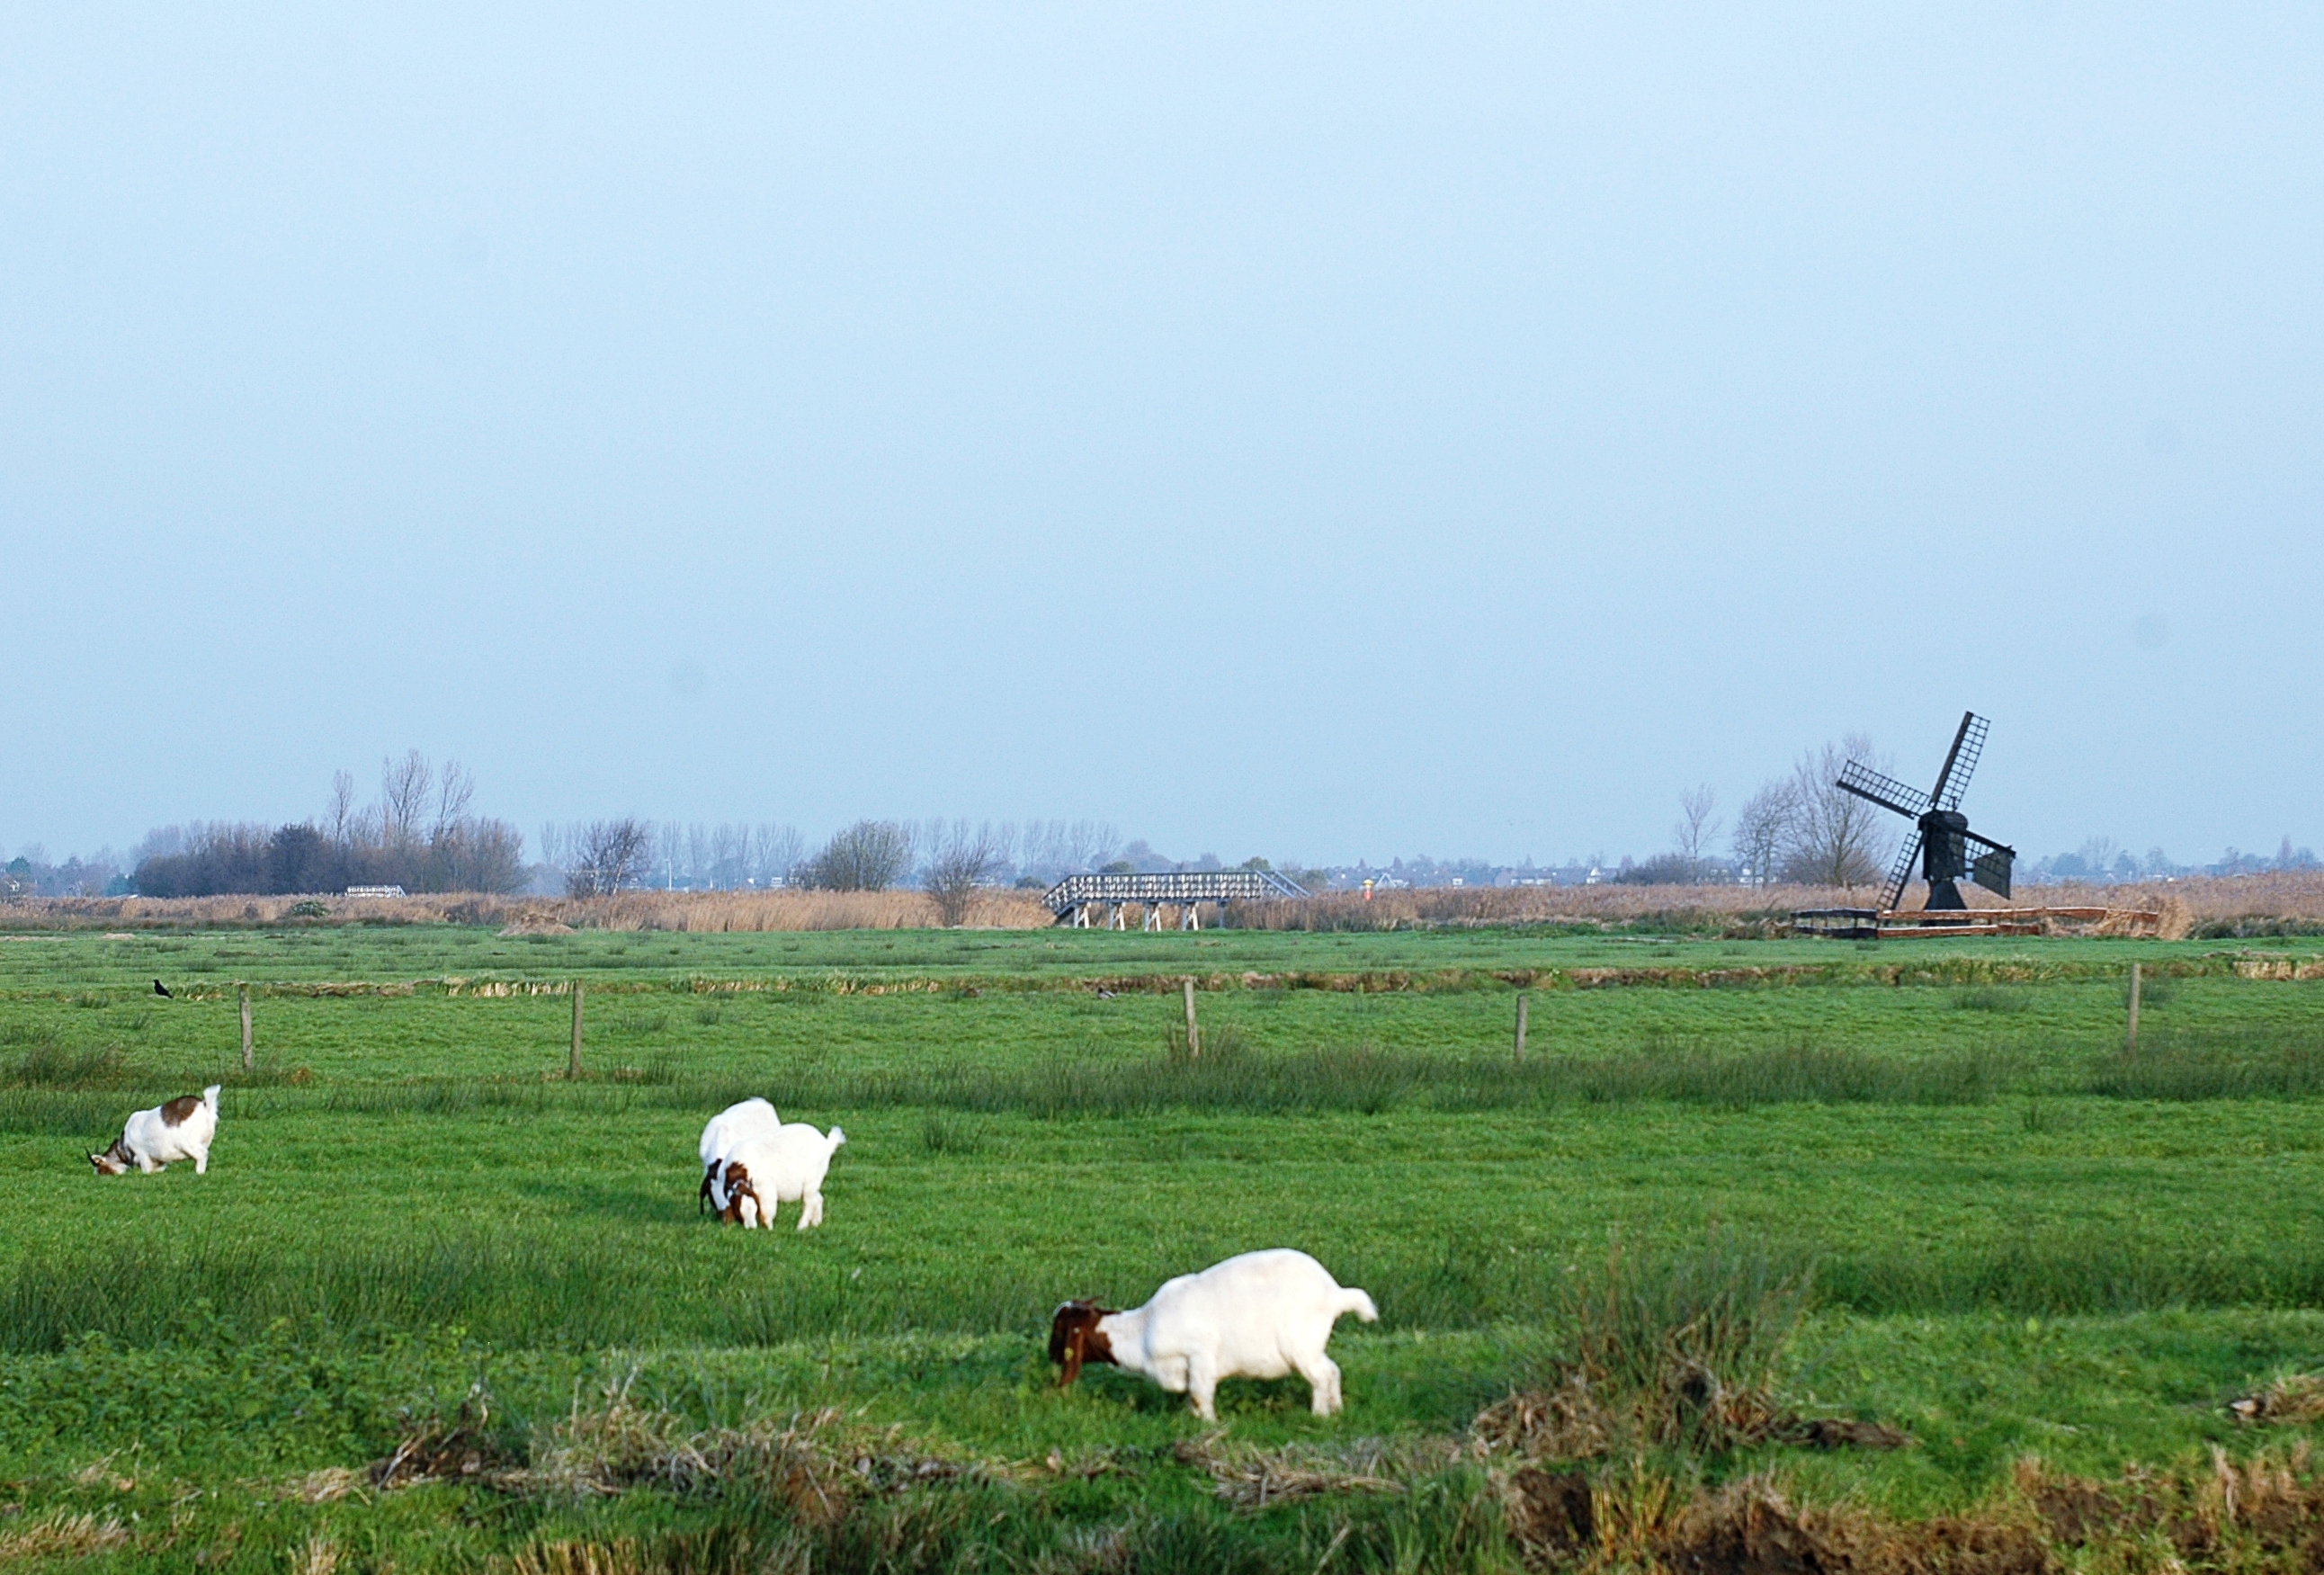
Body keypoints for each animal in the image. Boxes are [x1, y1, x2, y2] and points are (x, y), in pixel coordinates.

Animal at [90, 1091, 221, 1179]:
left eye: (100, 1169)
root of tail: (204, 1107)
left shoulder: (142, 1154)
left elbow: (146, 1171)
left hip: (187, 1143)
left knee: (202, 1154)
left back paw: (199, 1173)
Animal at [715, 1123, 854, 1235]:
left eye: (753, 1209)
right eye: (738, 1209)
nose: (751, 1228)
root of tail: (826, 1143)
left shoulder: (766, 1188)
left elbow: (766, 1212)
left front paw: (769, 1229)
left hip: (812, 1179)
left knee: (809, 1202)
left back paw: (801, 1226)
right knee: (818, 1198)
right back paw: (816, 1223)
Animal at [1050, 1254, 1366, 1421]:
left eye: (1060, 1328)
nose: (1051, 1357)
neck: (1140, 1332)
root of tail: (1335, 1293)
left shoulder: (1200, 1357)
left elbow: (1202, 1395)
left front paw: (1210, 1427)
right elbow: (1194, 1398)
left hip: (1299, 1346)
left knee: (1322, 1375)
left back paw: (1319, 1415)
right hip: (1312, 1346)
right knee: (1333, 1371)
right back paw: (1337, 1410)